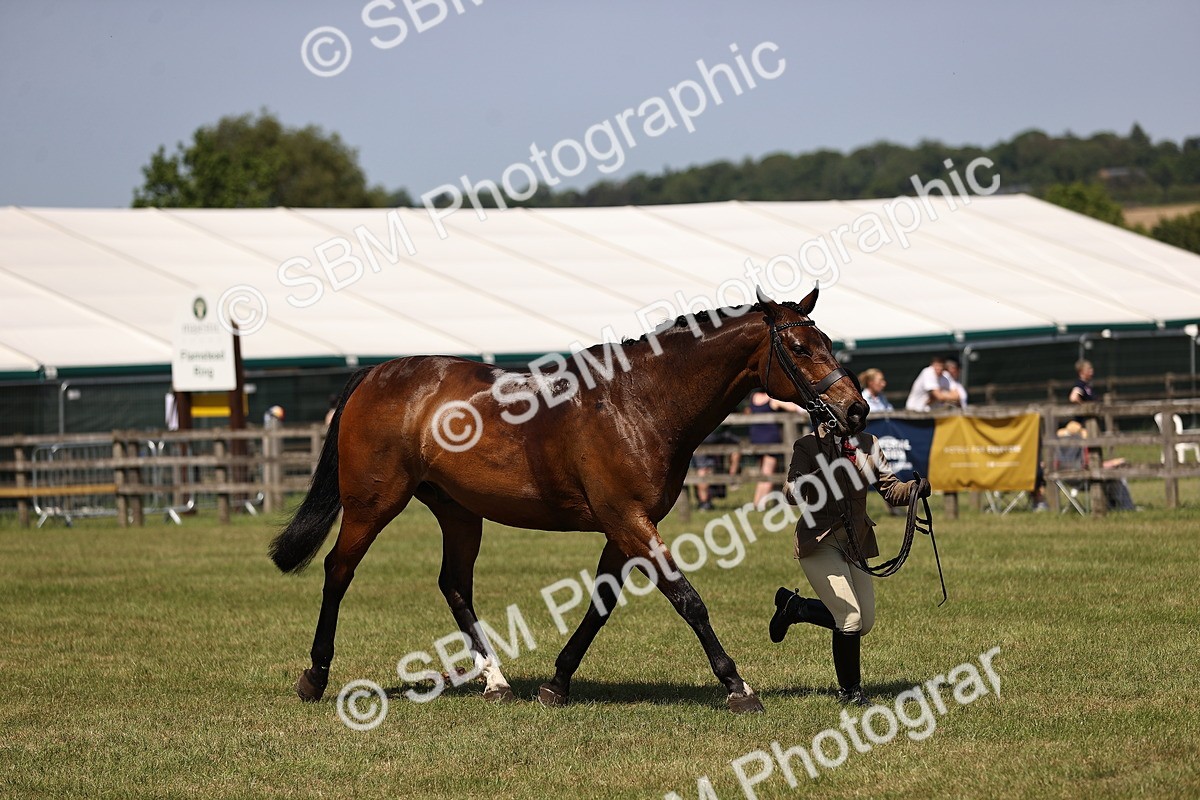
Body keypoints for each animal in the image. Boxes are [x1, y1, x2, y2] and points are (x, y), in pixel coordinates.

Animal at [269, 286, 867, 713]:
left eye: (827, 343)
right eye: (799, 348)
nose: (856, 409)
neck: (639, 401)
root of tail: (377, 372)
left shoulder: (625, 527)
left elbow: (601, 603)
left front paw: (557, 682)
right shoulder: (629, 521)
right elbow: (687, 598)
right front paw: (737, 685)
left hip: (458, 511)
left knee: (455, 586)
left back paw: (495, 681)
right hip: (373, 504)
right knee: (338, 570)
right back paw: (315, 676)